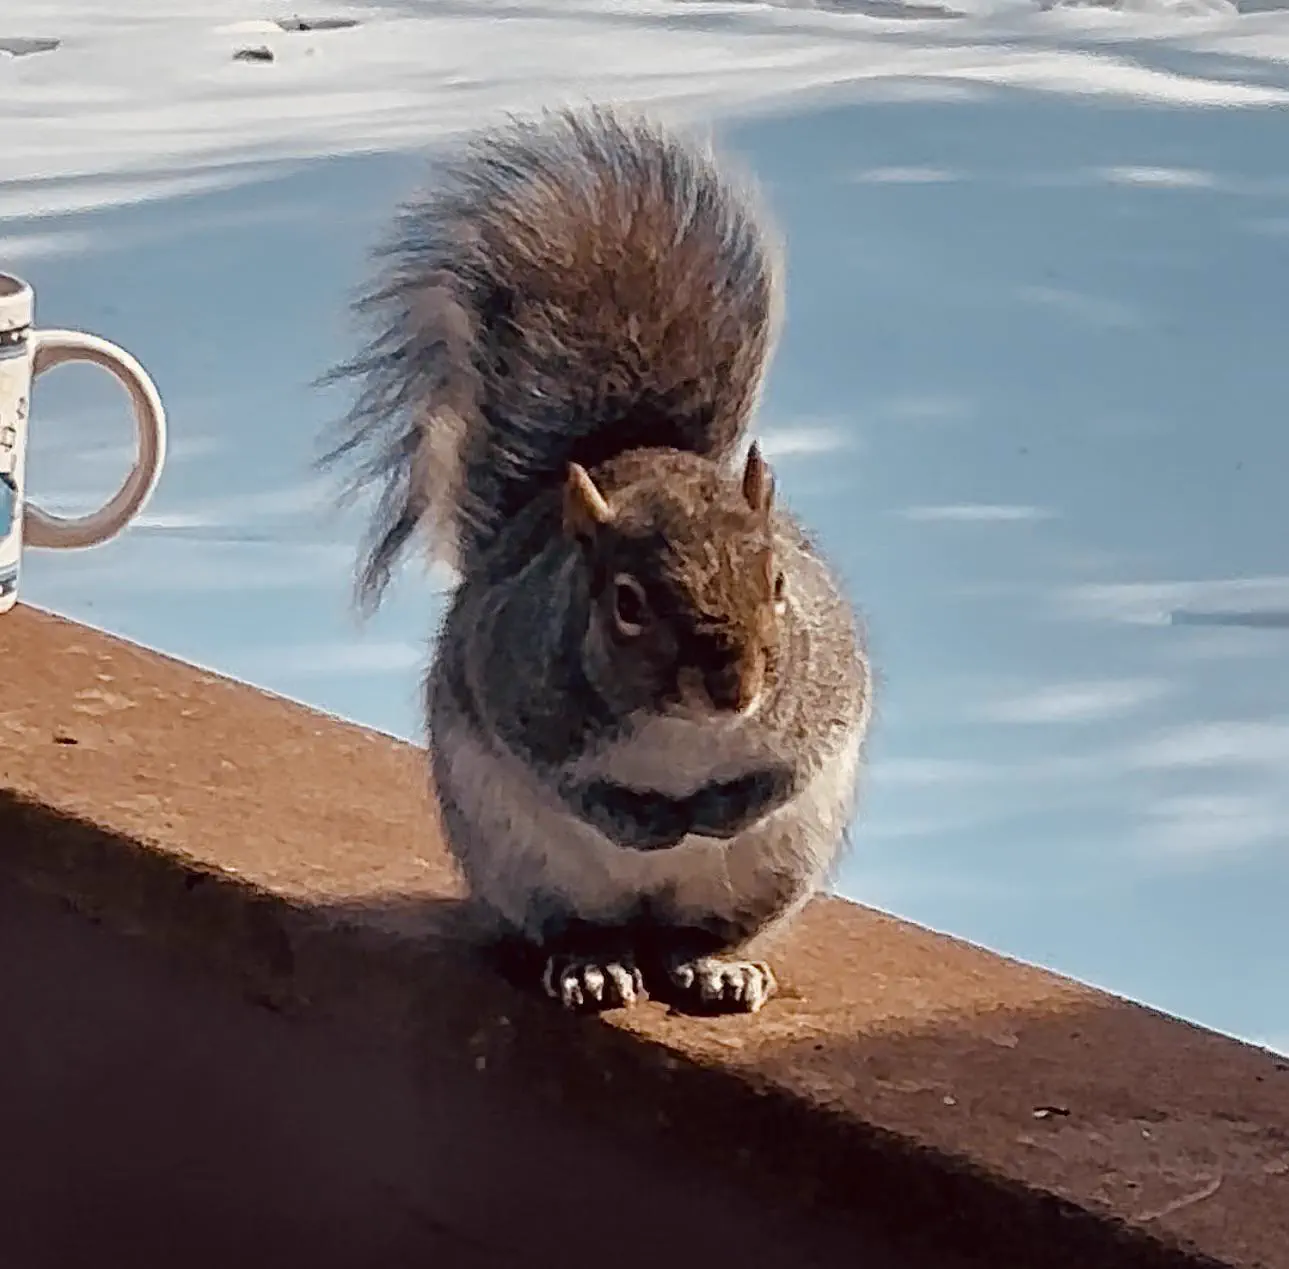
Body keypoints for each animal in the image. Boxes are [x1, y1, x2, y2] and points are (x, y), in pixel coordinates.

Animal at [325, 106, 872, 1015]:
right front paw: (643, 822)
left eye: (778, 581)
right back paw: (593, 963)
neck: (685, 735)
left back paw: (716, 963)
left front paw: (722, 811)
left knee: (701, 933)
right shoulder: (512, 684)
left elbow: (796, 764)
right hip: (522, 869)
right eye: (625, 602)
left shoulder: (825, 689)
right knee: (578, 929)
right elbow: (560, 779)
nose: (735, 688)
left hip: (772, 873)